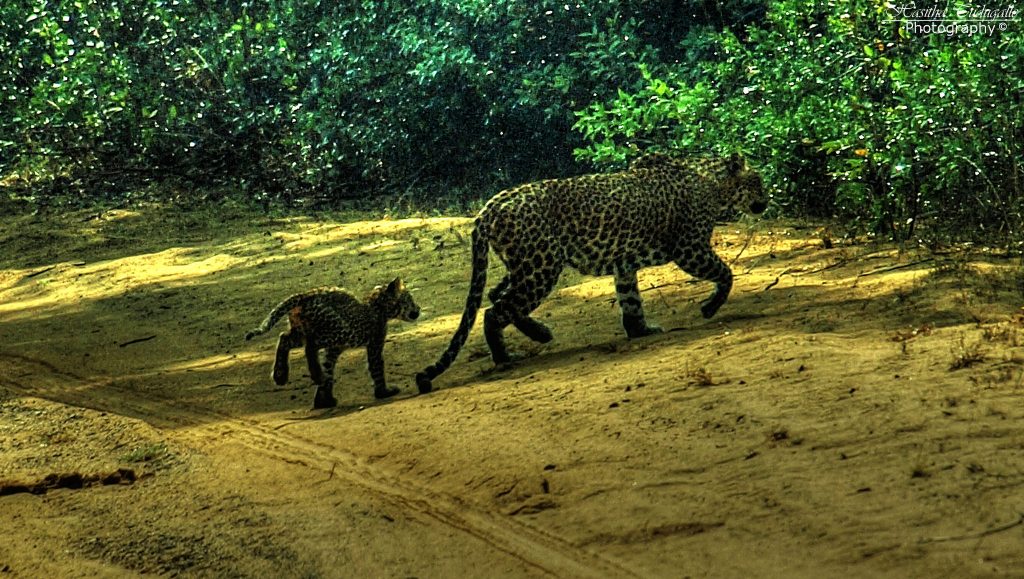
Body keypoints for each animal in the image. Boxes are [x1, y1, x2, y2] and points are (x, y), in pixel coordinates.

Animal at [413, 150, 761, 393]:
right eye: (756, 181)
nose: (767, 199)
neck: (713, 183)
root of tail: (489, 207)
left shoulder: (625, 263)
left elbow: (630, 300)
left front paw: (640, 330)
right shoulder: (690, 249)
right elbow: (725, 273)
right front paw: (709, 308)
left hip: (526, 265)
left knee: (496, 296)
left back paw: (540, 333)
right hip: (541, 267)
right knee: (495, 311)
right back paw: (505, 357)